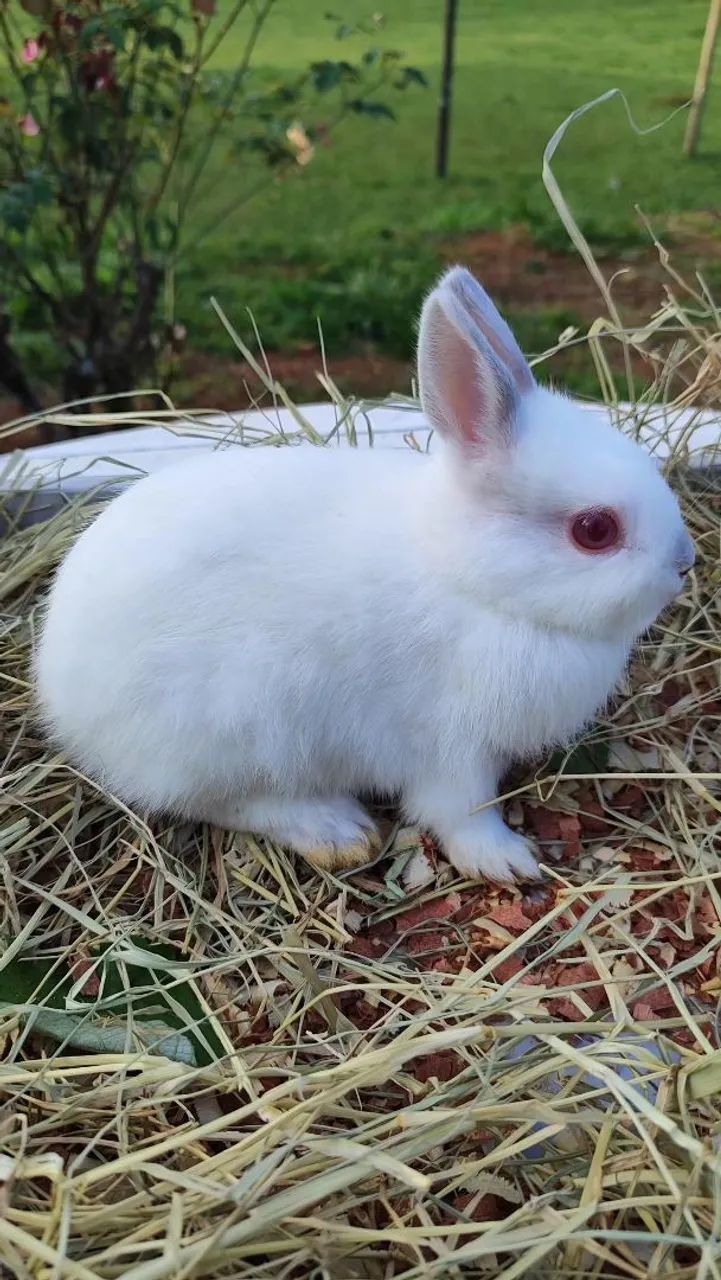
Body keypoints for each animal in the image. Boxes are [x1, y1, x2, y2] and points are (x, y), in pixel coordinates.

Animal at [34, 267, 694, 882]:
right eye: (594, 530)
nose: (684, 562)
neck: (470, 579)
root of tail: (60, 694)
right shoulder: (450, 747)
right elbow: (461, 813)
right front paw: (508, 861)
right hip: (230, 731)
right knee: (226, 803)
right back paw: (338, 830)